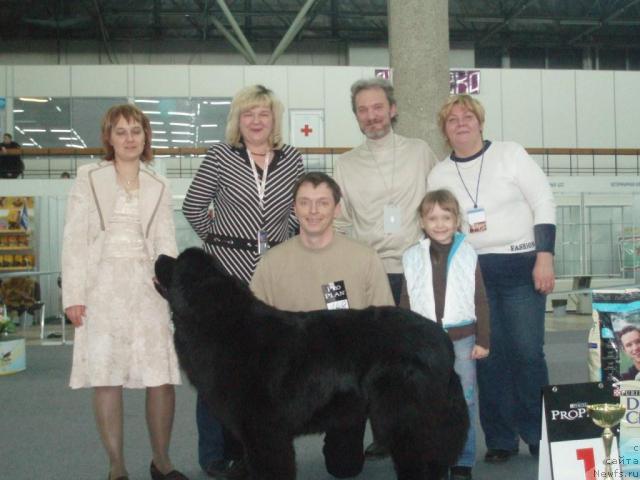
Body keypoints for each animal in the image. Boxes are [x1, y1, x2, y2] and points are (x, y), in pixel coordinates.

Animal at [153, 249, 468, 478]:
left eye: (177, 261)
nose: (158, 257)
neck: (220, 324)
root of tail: (441, 339)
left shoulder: (265, 431)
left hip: (406, 419)